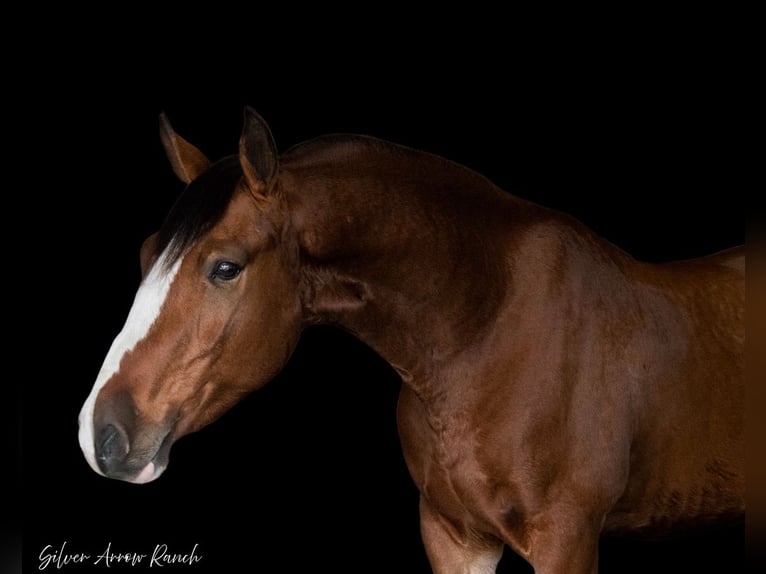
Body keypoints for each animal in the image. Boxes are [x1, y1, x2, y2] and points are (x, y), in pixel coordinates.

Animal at [78, 108, 744, 574]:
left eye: (225, 267)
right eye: (146, 254)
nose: (100, 435)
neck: (485, 331)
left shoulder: (568, 537)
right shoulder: (454, 535)